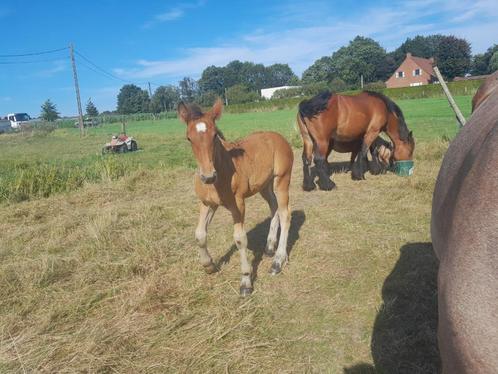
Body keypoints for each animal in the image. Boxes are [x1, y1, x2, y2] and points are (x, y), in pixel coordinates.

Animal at [177, 98, 294, 296]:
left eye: (215, 135)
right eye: (188, 138)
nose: (208, 176)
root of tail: (279, 137)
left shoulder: (238, 204)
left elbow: (240, 238)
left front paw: (246, 281)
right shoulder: (207, 204)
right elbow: (199, 234)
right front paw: (209, 265)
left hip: (282, 179)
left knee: (286, 213)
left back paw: (277, 261)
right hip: (264, 185)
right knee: (274, 206)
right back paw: (270, 246)